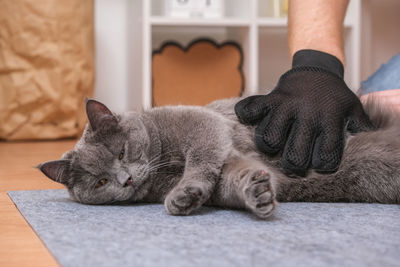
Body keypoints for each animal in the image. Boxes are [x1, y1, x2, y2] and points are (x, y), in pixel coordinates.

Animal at [38, 98, 400, 220]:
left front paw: (184, 192)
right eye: (101, 181)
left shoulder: (203, 125)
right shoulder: (227, 166)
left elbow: (202, 157)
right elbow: (229, 179)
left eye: (122, 152)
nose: (125, 180)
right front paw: (256, 193)